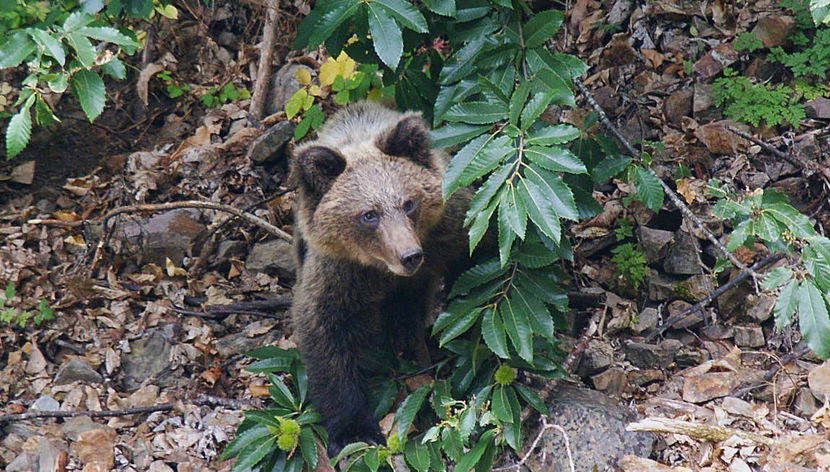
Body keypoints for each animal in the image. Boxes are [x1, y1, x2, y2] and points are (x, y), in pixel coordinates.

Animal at [289, 102, 473, 454]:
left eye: (409, 203)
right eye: (368, 214)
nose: (410, 255)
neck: (382, 270)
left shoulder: (449, 230)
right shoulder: (339, 273)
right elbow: (325, 331)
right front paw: (354, 430)